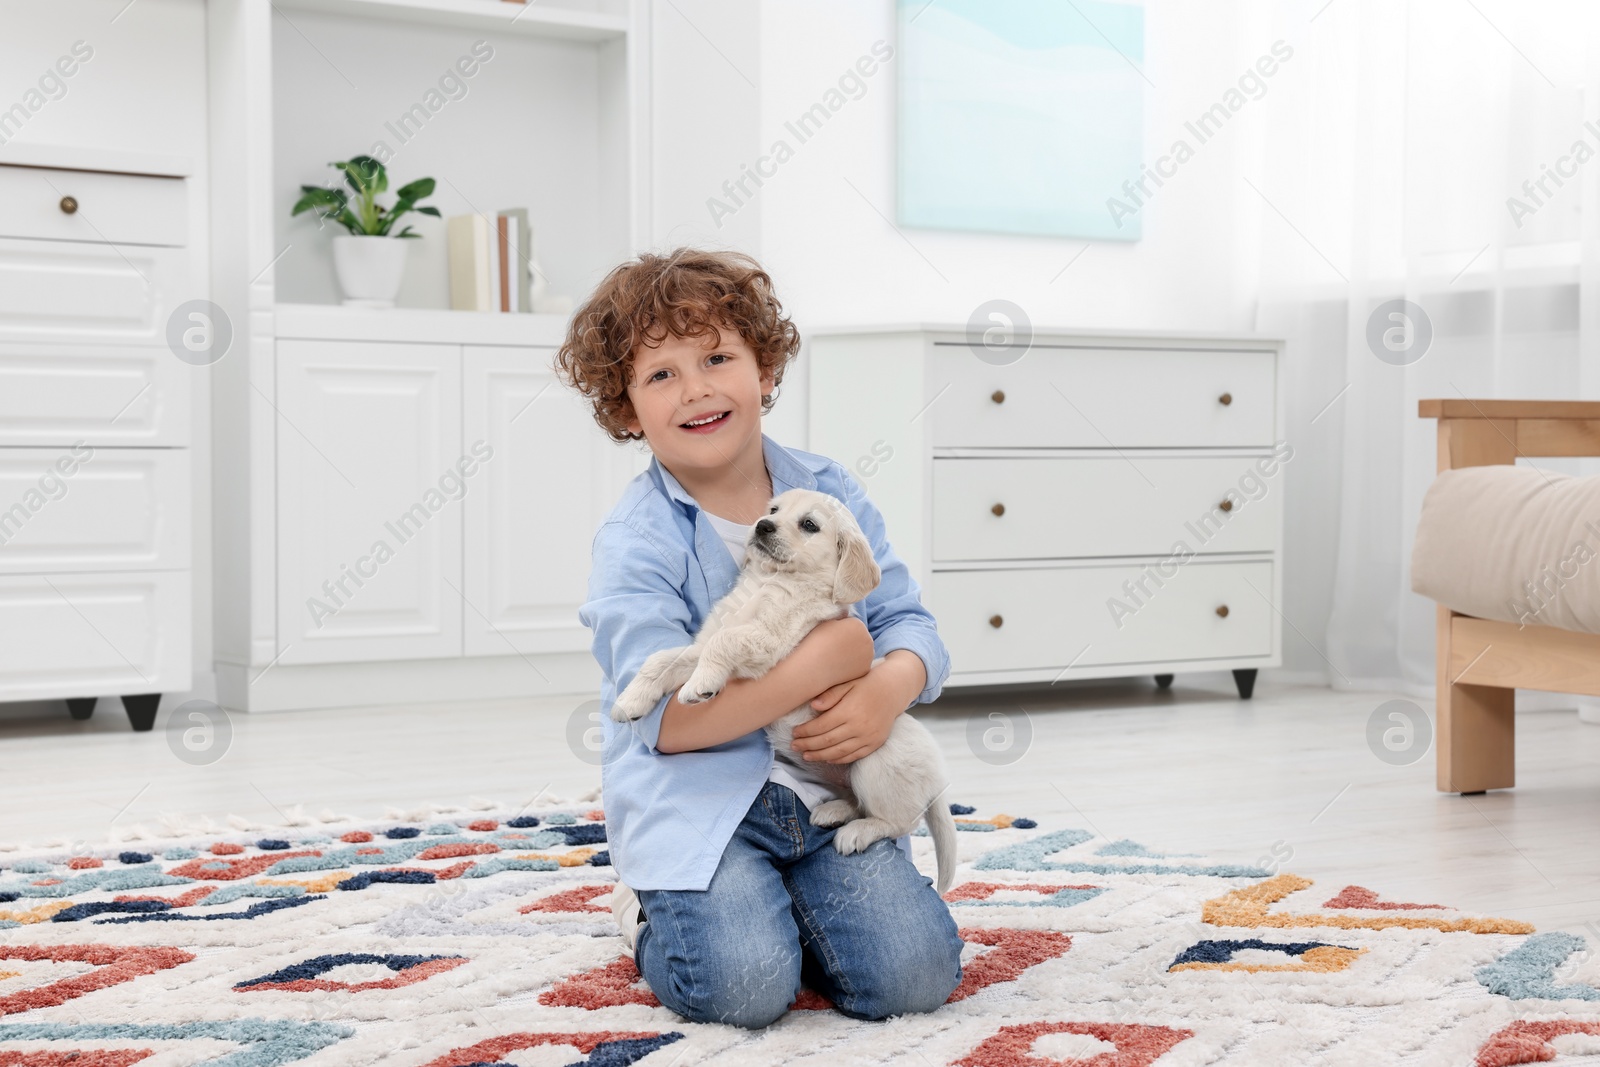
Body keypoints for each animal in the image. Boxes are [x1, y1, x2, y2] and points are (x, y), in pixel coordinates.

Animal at [608, 489, 953, 889]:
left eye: (809, 524)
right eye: (773, 510)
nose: (762, 525)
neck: (768, 580)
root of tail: (937, 781)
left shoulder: (767, 639)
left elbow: (722, 642)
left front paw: (700, 685)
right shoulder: (700, 644)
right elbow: (661, 658)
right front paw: (629, 701)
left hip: (875, 762)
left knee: (899, 821)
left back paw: (856, 832)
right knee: (858, 802)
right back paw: (833, 811)